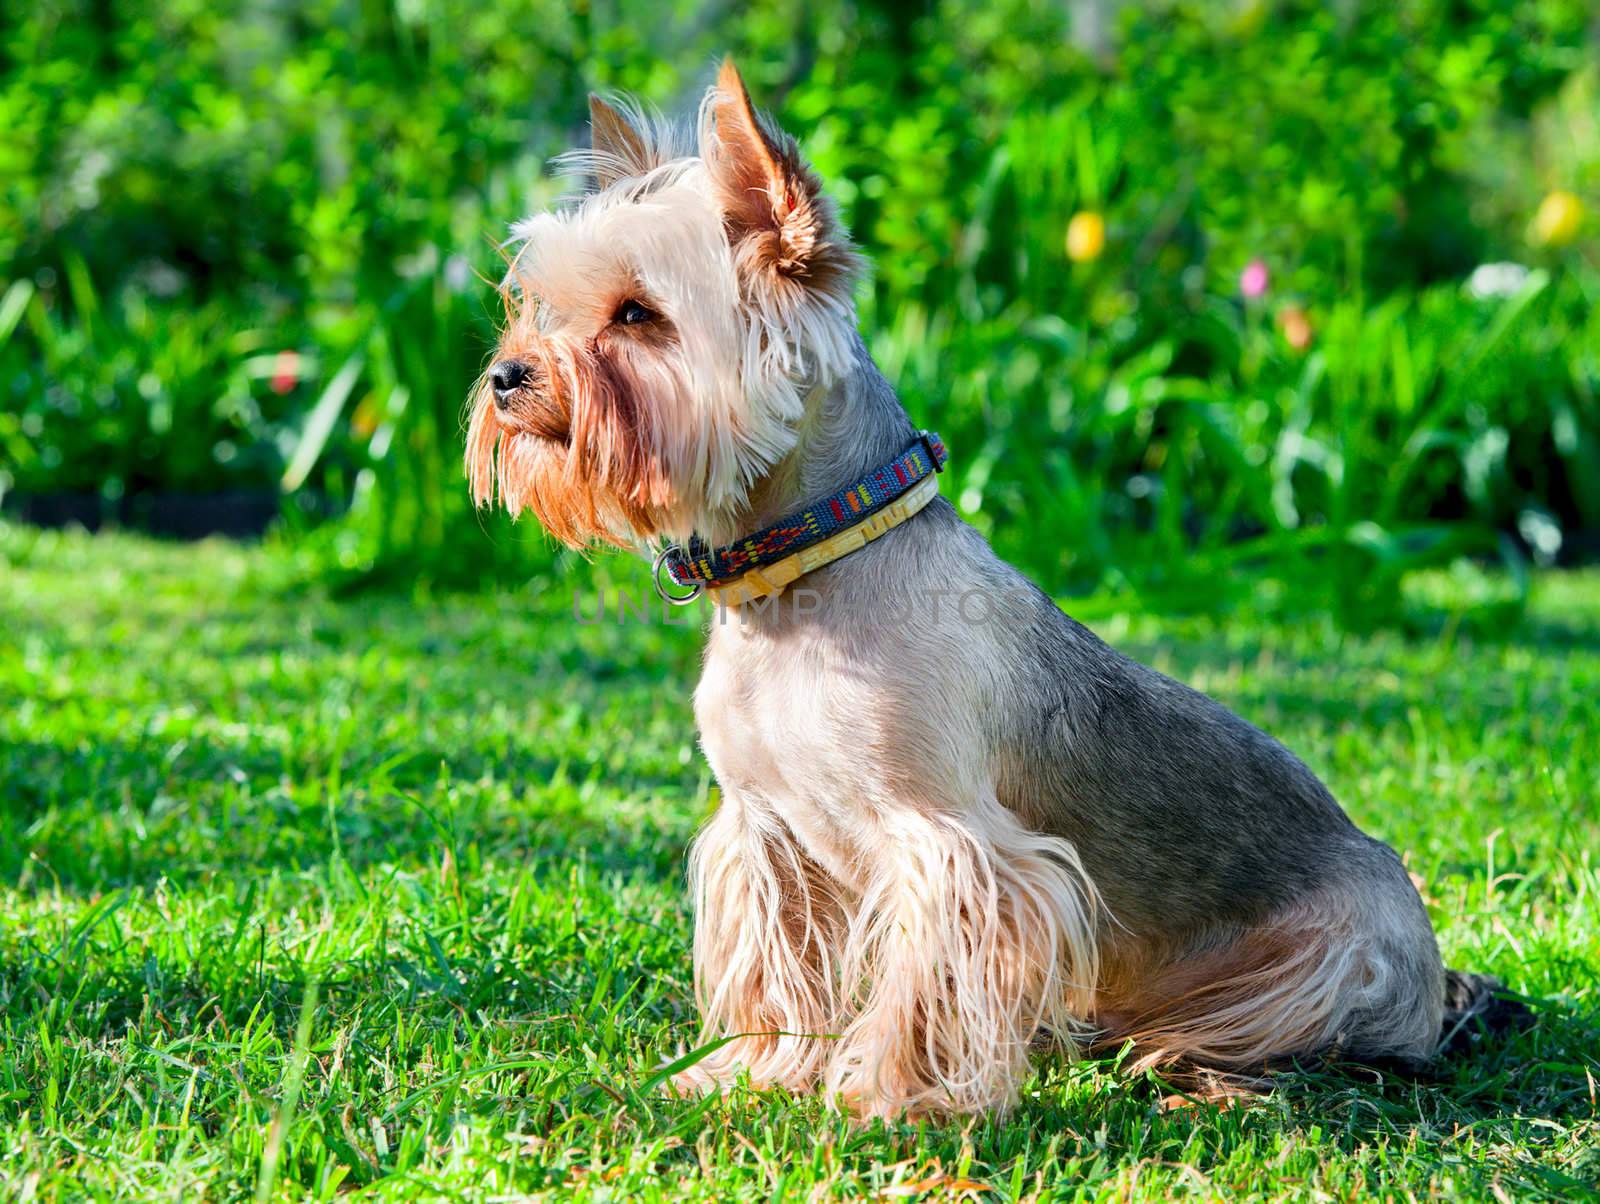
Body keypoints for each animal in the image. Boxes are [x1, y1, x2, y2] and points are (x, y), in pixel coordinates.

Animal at [467, 63, 1491, 1120]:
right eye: (539, 305)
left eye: (638, 314)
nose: (506, 374)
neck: (807, 567)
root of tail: (1440, 984)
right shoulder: (767, 835)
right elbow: (775, 966)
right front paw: (751, 1070)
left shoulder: (955, 846)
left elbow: (928, 980)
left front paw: (886, 1101)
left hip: (1327, 966)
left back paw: (1190, 1070)